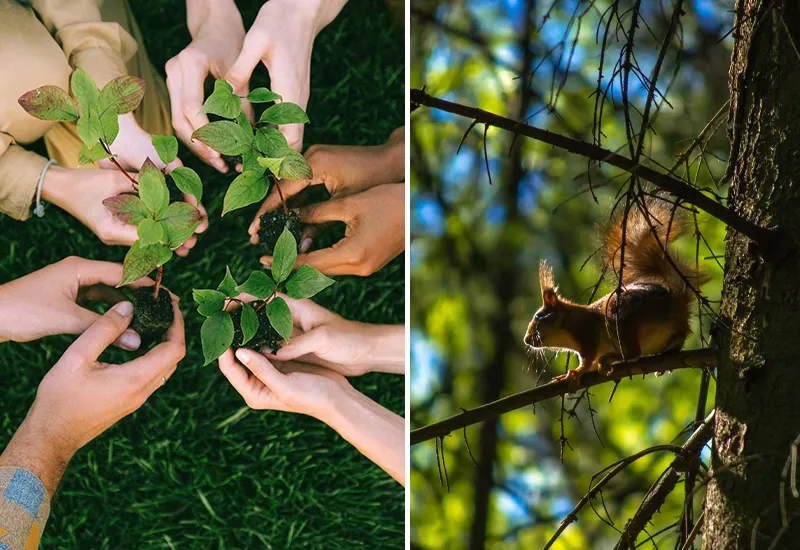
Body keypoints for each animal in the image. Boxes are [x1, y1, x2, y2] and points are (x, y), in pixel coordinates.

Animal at [524, 199, 708, 388]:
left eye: (538, 316)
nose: (526, 340)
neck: (569, 322)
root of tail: (676, 305)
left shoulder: (586, 334)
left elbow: (587, 360)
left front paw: (576, 372)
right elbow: (590, 364)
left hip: (617, 317)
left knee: (634, 352)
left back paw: (610, 358)